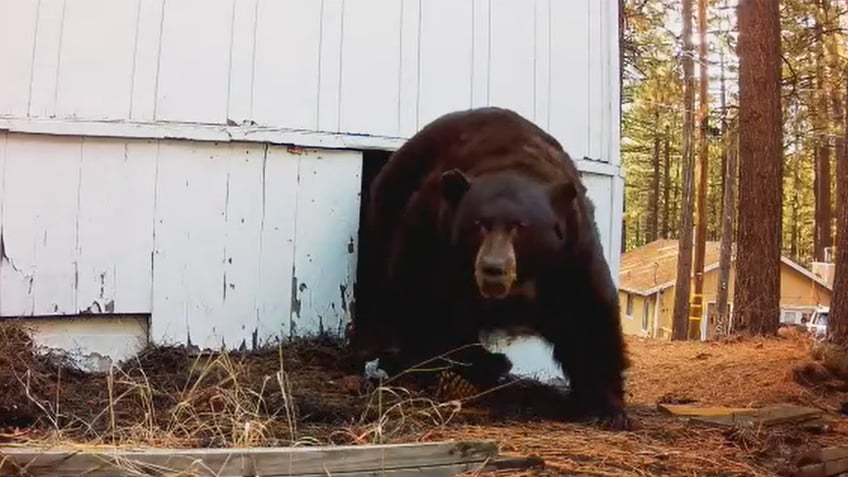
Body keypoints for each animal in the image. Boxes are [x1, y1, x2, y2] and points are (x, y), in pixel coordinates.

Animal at [348, 108, 632, 432]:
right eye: (479, 224)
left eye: (520, 226)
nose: (493, 268)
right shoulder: (432, 237)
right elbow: (424, 302)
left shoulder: (571, 255)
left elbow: (589, 317)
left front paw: (607, 408)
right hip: (385, 214)